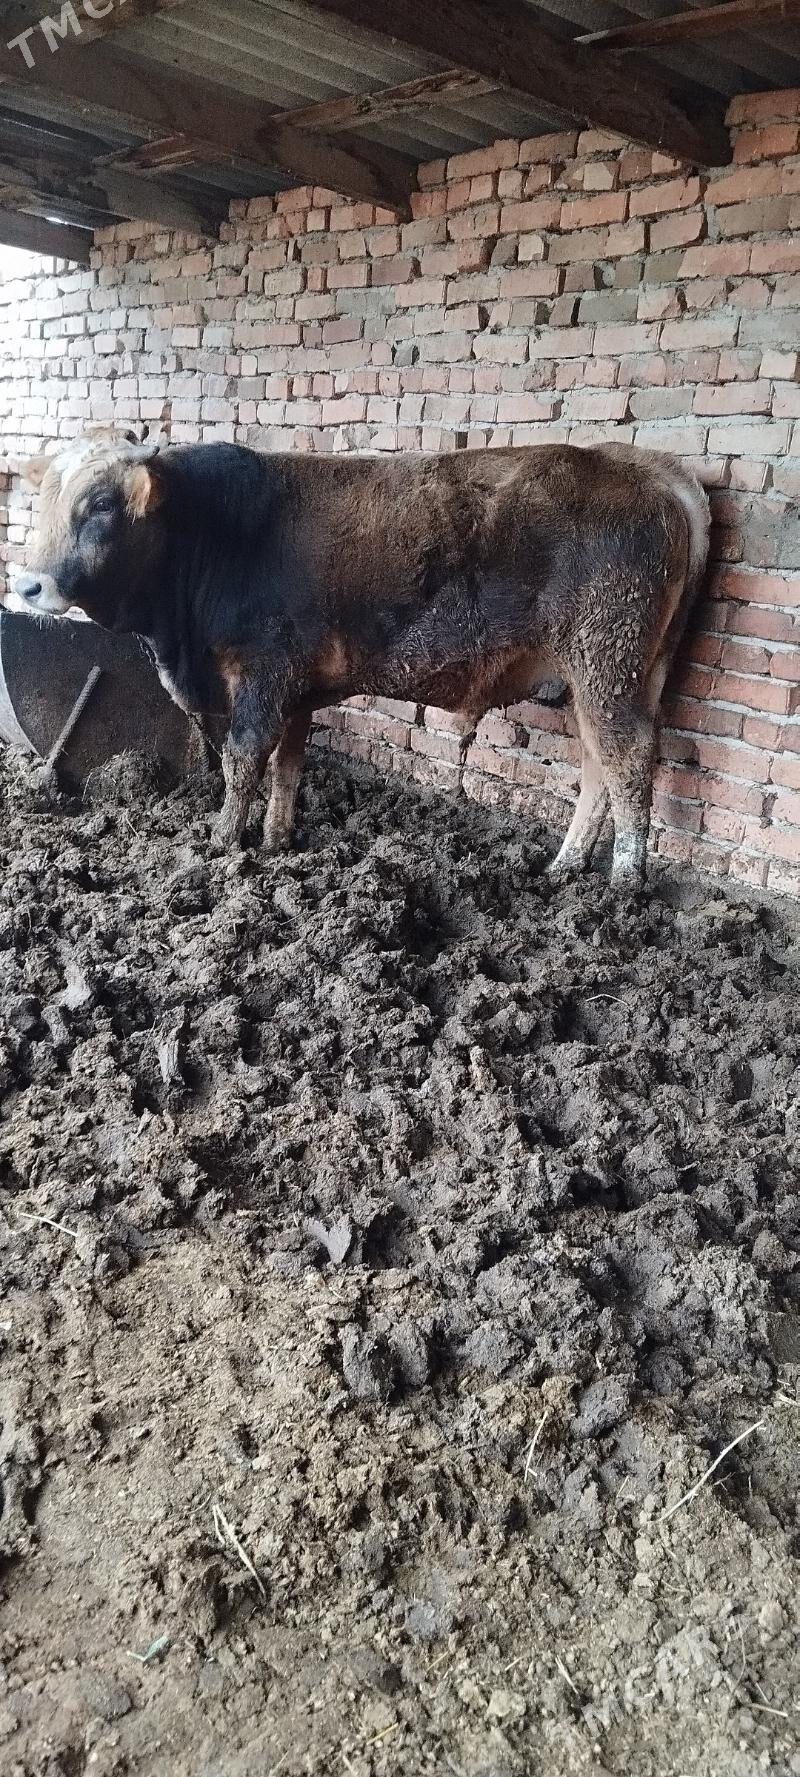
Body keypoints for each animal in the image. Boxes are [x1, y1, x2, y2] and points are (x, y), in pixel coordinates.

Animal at [13, 435, 709, 885]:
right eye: (43, 503)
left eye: (102, 505)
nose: (28, 584)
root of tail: (643, 466)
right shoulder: (296, 688)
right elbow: (289, 766)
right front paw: (277, 841)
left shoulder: (264, 676)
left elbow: (243, 761)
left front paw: (220, 844)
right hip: (612, 674)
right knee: (599, 766)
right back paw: (564, 868)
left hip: (607, 665)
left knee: (625, 761)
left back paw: (623, 885)